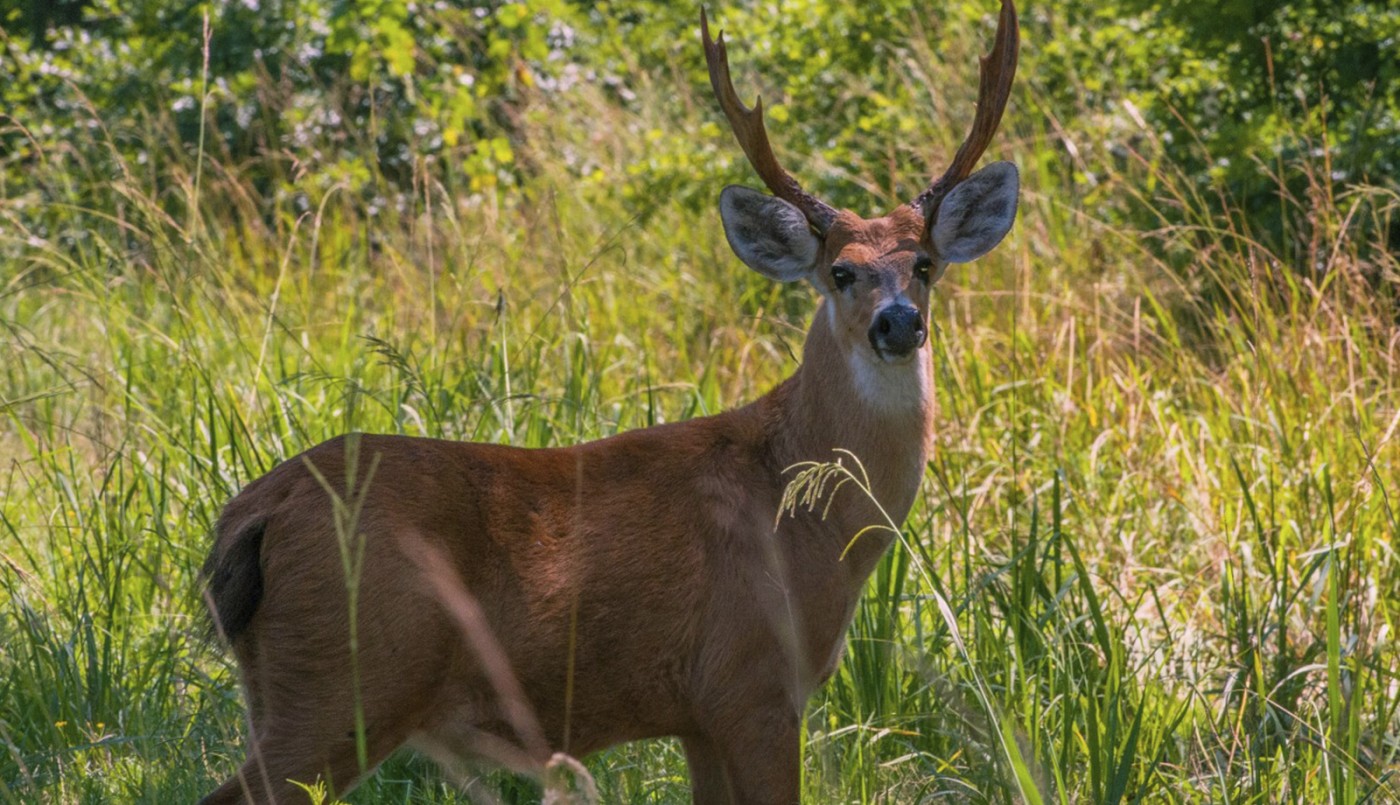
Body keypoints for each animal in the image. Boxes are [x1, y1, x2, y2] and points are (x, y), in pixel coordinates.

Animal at [199, 2, 1019, 803]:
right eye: (841, 272)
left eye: (924, 265)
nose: (898, 323)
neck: (801, 510)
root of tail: (251, 514)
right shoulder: (752, 680)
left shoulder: (697, 715)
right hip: (345, 681)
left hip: (291, 684)